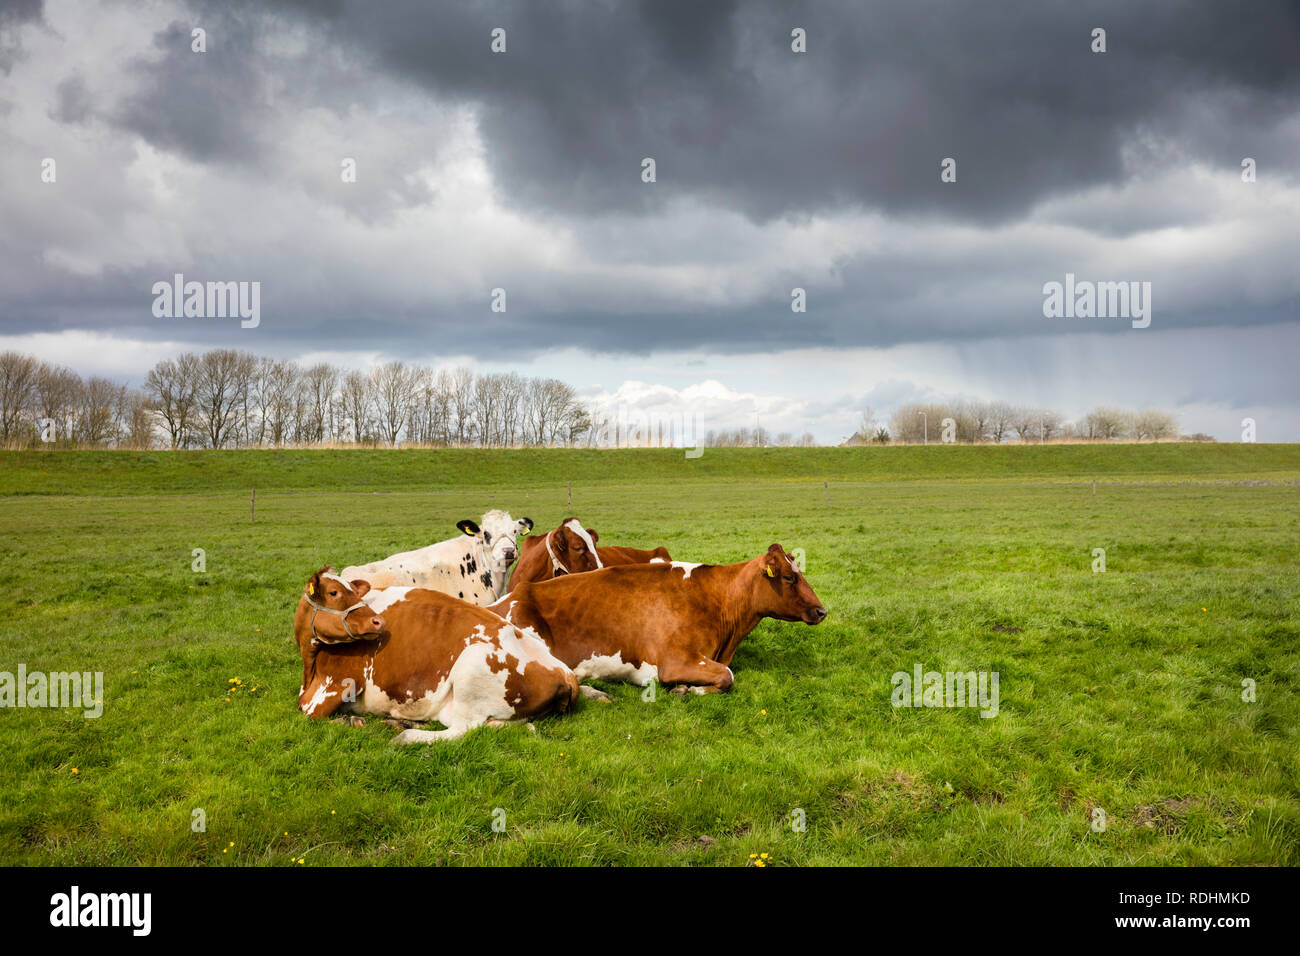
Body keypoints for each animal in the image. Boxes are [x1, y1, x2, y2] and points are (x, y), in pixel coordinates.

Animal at [297, 567, 582, 749]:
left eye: (352, 593)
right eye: (334, 592)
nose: (377, 622)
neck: (310, 670)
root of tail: (565, 673)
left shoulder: (334, 686)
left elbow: (310, 716)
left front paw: (352, 721)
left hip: (471, 666)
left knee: (461, 731)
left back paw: (405, 736)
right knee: (507, 727)